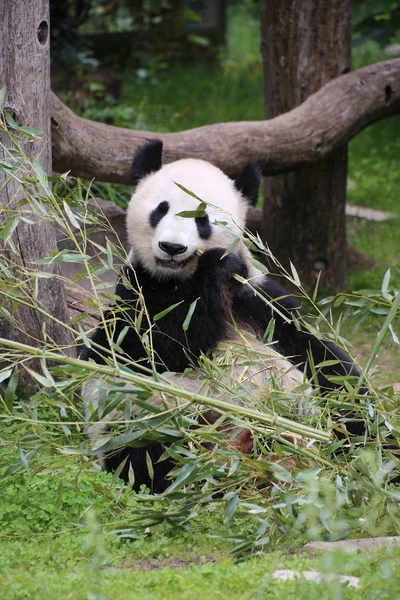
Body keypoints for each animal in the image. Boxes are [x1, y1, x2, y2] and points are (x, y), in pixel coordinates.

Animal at [83, 139, 366, 492]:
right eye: (160, 209)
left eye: (201, 218)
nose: (172, 247)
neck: (179, 278)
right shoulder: (137, 290)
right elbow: (153, 349)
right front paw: (212, 269)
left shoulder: (256, 300)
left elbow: (321, 359)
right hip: (148, 417)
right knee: (149, 450)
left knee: (345, 412)